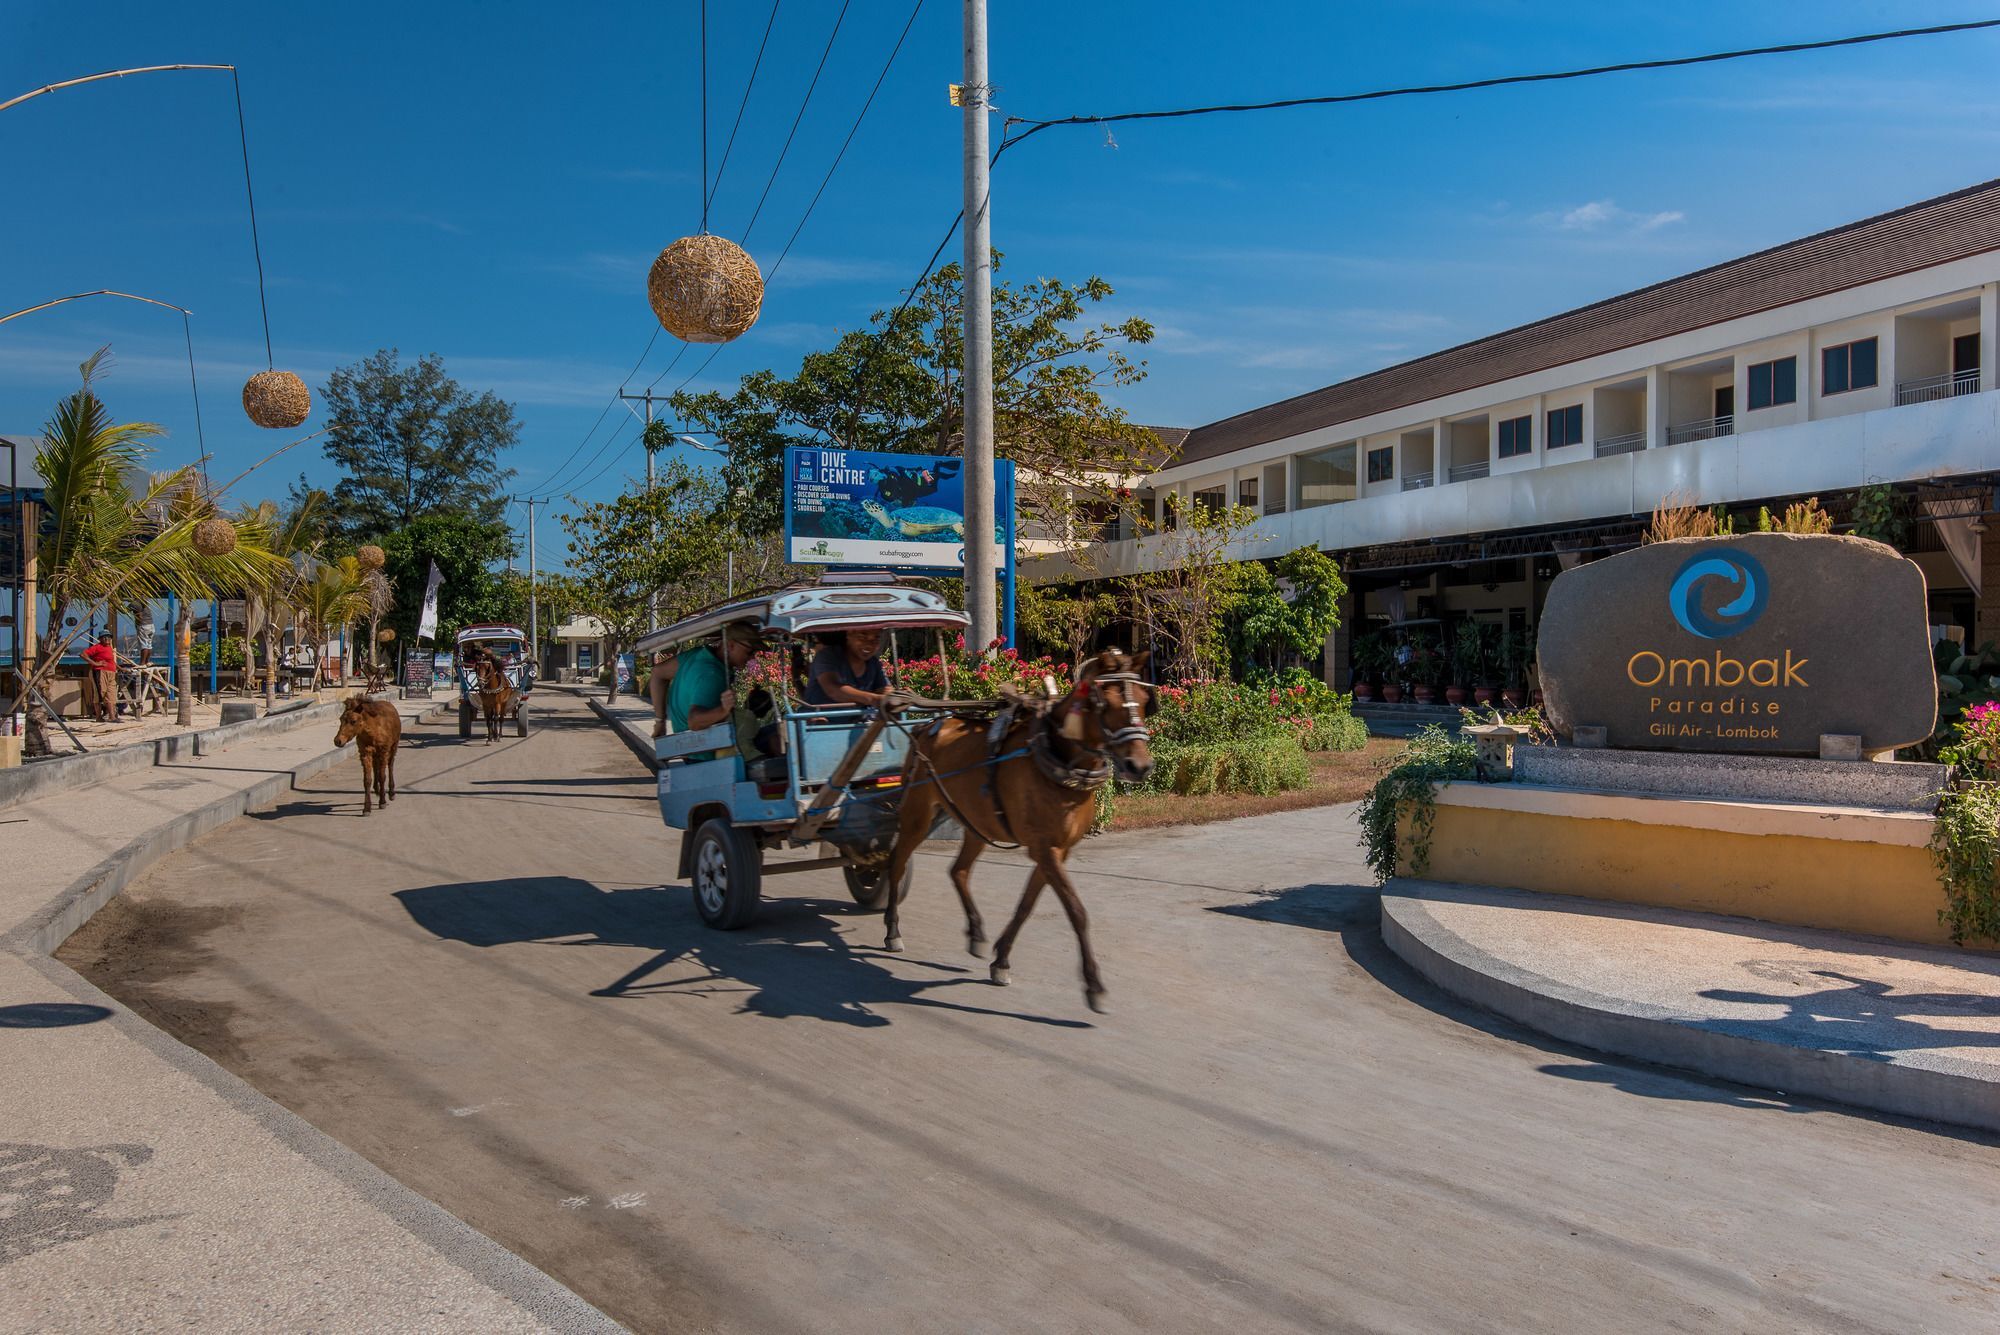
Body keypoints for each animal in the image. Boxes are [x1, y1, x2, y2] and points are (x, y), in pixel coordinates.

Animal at [880, 647, 1160, 1011]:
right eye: (1106, 704)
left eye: (1143, 700)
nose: (1139, 766)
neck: (1056, 757)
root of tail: (927, 726)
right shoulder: (1044, 848)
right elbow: (1077, 911)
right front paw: (1094, 984)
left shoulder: (1057, 850)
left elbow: (1027, 906)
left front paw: (1001, 961)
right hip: (918, 813)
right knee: (897, 863)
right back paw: (892, 930)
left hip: (975, 821)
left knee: (958, 871)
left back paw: (975, 932)